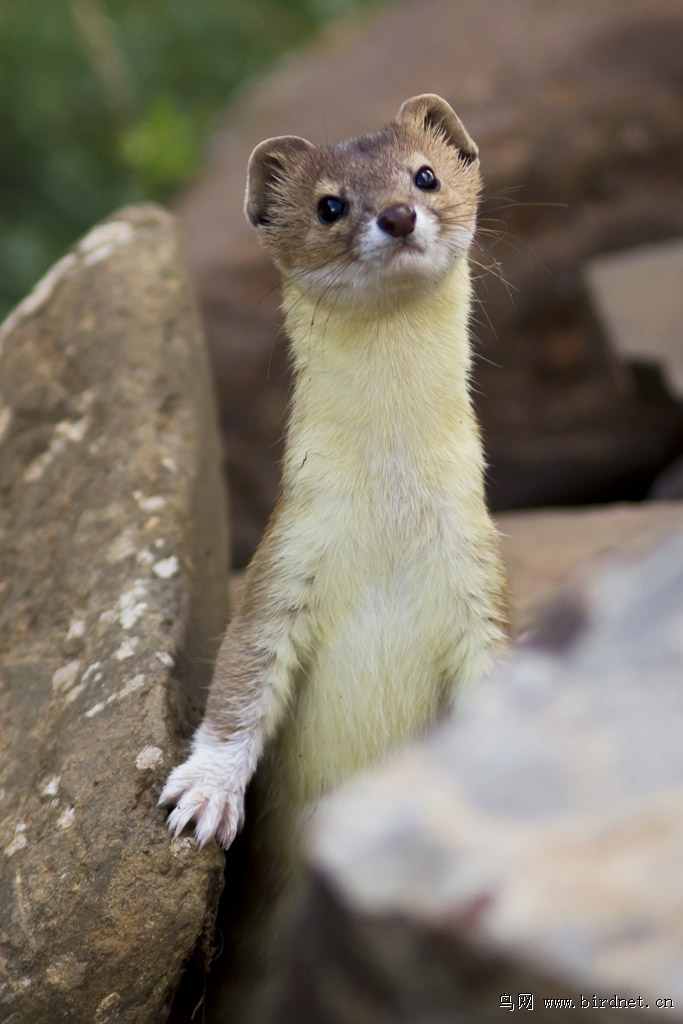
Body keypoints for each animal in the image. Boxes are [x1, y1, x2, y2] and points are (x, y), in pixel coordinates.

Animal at [160, 94, 509, 1015]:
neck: (389, 527)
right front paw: (205, 792)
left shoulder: (480, 578)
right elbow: (239, 681)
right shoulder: (285, 562)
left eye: (424, 174)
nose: (397, 215)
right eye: (327, 204)